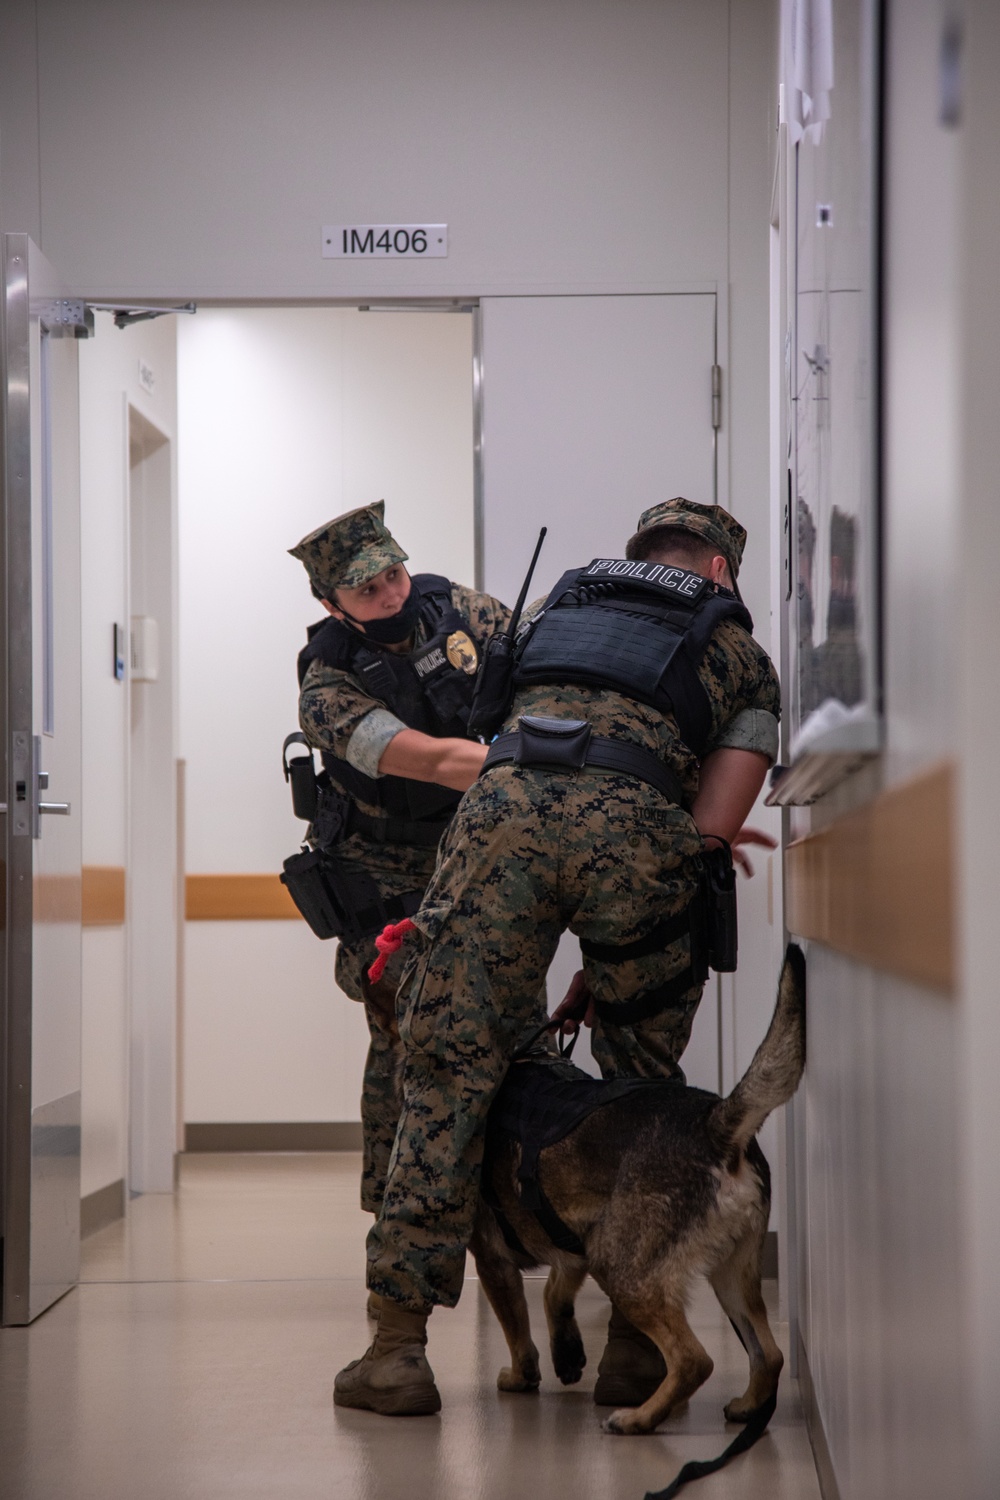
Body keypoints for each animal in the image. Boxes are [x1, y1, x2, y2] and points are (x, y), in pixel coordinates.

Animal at [470, 942, 803, 1434]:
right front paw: (567, 1353)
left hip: (621, 1267)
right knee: (770, 1355)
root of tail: (715, 1125)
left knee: (694, 1360)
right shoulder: (574, 1246)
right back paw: (746, 1407)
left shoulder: (495, 1261)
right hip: (727, 1272)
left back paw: (640, 1418)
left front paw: (521, 1375)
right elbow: (553, 1294)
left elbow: (518, 1328)